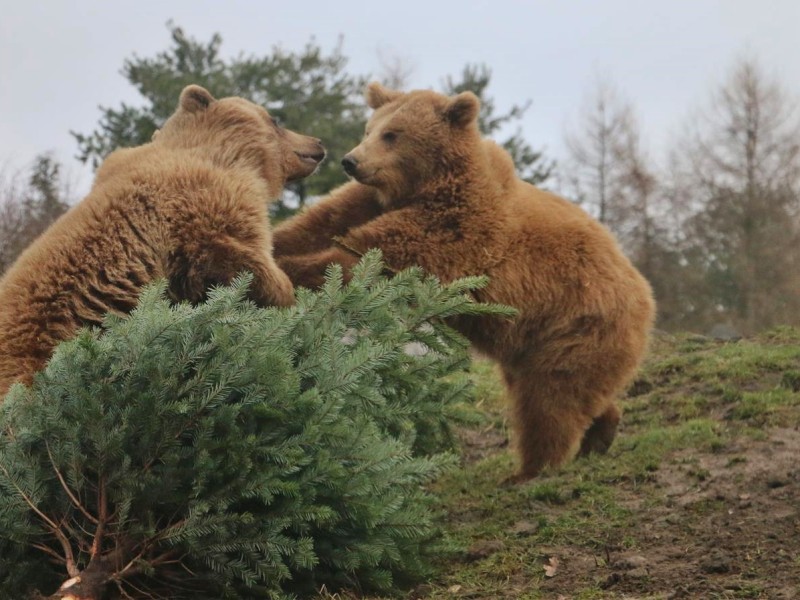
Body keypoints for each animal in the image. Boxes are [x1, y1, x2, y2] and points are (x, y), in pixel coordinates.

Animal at [276, 83, 656, 482]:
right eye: (369, 129)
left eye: (392, 134)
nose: (351, 161)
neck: (420, 187)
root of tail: (643, 290)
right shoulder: (365, 204)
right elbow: (314, 228)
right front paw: (272, 249)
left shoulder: (456, 230)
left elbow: (369, 261)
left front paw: (289, 269)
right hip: (534, 344)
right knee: (578, 392)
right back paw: (602, 433)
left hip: (577, 322)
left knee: (550, 399)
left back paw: (530, 470)